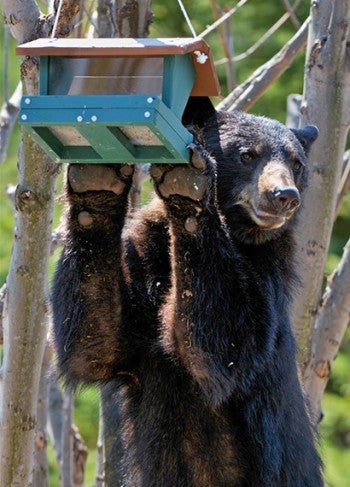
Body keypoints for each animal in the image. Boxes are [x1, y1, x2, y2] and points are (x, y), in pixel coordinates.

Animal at [53, 100, 324, 487]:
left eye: (297, 163)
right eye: (247, 154)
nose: (284, 196)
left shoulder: (269, 283)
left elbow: (224, 342)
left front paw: (190, 186)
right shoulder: (143, 258)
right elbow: (95, 342)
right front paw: (97, 182)